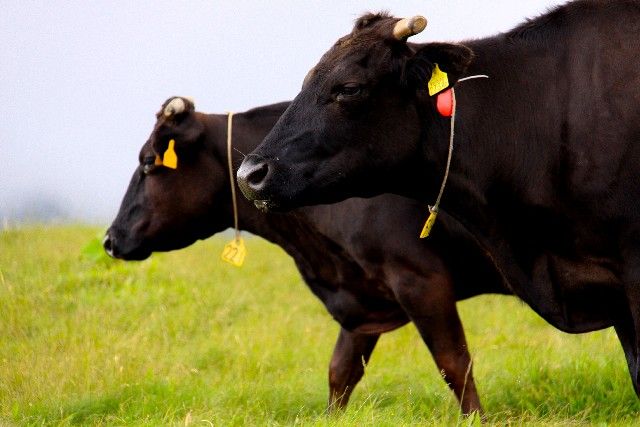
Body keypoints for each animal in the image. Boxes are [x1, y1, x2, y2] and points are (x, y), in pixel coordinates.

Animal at [105, 97, 508, 414]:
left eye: (147, 162)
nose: (110, 238)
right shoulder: (362, 294)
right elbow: (340, 372)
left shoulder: (419, 278)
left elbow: (454, 363)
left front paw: (476, 419)